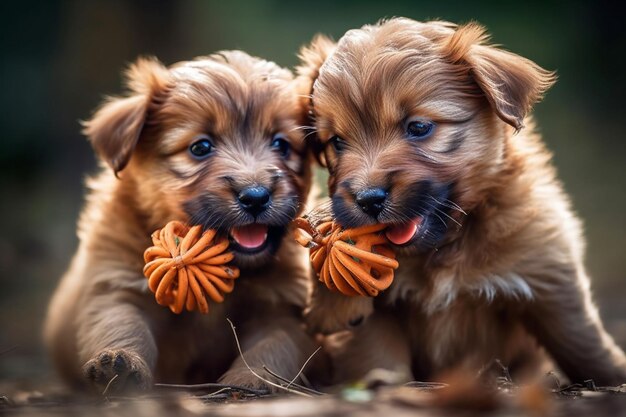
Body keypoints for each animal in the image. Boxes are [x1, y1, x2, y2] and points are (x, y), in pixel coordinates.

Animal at [44, 50, 316, 392]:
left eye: (281, 144)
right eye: (200, 147)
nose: (256, 196)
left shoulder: (281, 308)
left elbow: (272, 346)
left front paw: (249, 381)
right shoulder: (118, 284)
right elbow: (123, 324)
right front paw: (120, 362)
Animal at [296, 18, 624, 384]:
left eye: (419, 127)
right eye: (337, 142)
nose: (368, 199)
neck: (447, 245)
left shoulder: (547, 275)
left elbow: (582, 342)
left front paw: (613, 375)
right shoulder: (376, 313)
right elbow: (376, 355)